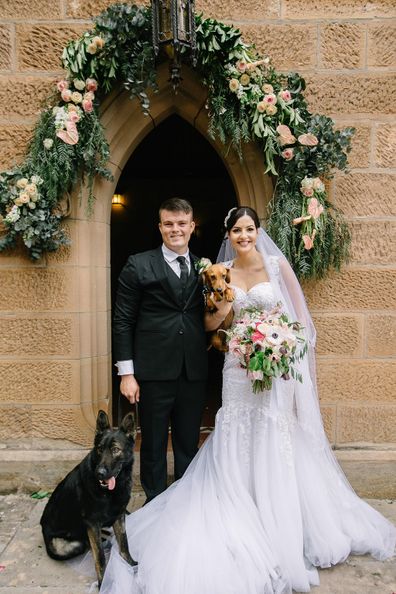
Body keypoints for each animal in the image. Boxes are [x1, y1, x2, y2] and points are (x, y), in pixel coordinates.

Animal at [39, 410, 137, 584]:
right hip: (65, 547)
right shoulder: (92, 523)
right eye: (99, 449)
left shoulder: (119, 517)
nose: (100, 473)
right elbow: (99, 557)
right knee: (86, 543)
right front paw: (103, 582)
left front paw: (130, 565)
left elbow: (124, 544)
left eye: (115, 449)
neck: (110, 492)